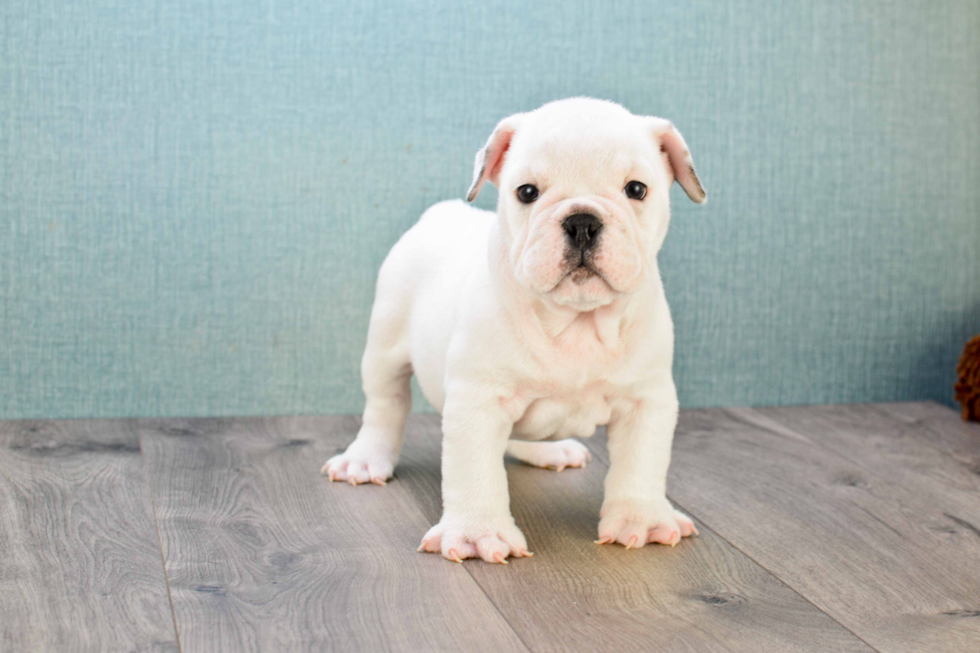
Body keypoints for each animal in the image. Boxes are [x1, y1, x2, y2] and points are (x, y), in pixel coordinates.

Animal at [322, 99, 704, 564]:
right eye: (526, 192)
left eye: (636, 190)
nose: (582, 221)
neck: (574, 320)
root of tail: (440, 212)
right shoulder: (477, 400)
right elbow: (474, 470)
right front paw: (477, 532)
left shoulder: (645, 400)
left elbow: (642, 464)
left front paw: (643, 518)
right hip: (385, 344)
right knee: (385, 406)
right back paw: (365, 459)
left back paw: (548, 449)